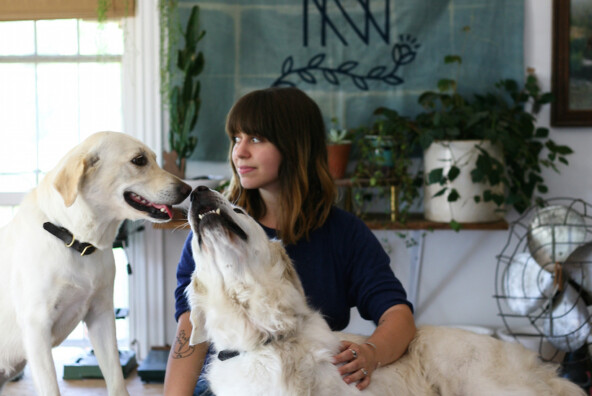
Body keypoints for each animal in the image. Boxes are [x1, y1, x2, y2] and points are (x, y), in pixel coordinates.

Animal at [0, 131, 191, 394]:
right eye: (139, 160)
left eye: (153, 157)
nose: (189, 189)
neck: (74, 238)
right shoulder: (36, 328)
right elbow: (52, 388)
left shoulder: (101, 314)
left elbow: (117, 380)